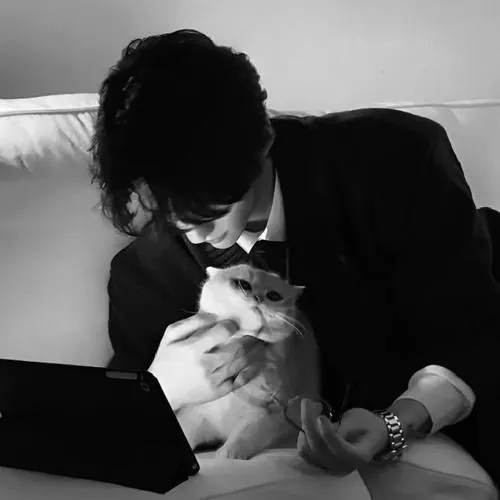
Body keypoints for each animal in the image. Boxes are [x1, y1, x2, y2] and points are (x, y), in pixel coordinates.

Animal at [176, 263, 320, 460]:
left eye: (274, 296)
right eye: (243, 284)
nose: (258, 298)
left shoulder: (270, 414)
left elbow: (245, 435)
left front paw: (228, 454)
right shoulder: (195, 413)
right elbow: (186, 431)